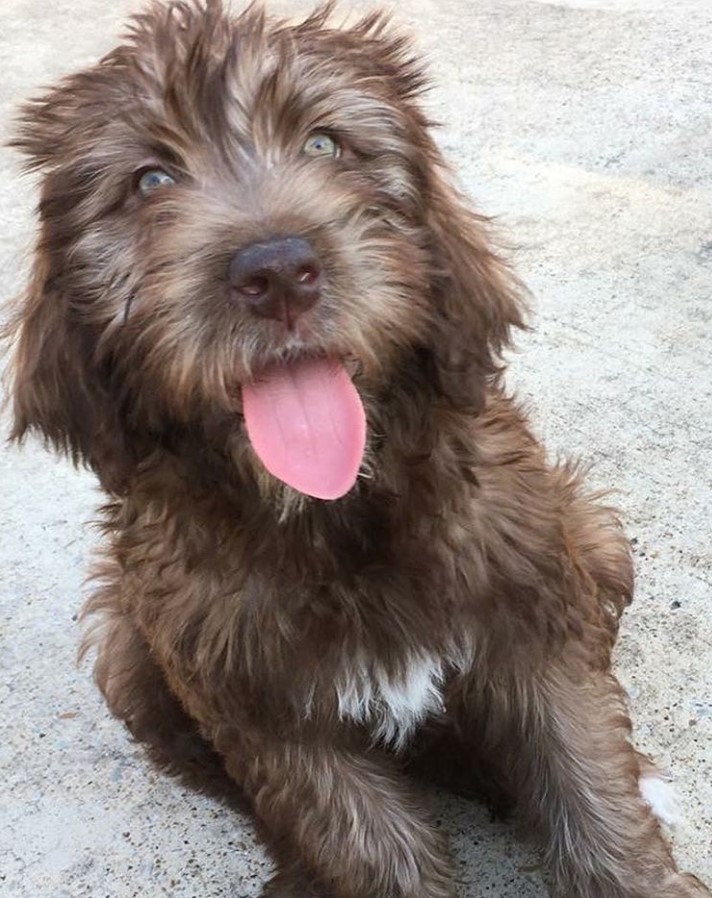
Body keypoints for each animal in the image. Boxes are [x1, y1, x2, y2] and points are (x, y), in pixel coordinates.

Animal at [6, 1, 712, 896]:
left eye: (325, 143)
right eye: (149, 181)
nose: (277, 271)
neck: (336, 511)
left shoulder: (533, 621)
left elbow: (590, 788)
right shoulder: (263, 707)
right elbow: (363, 844)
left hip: (590, 532)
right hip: (130, 653)